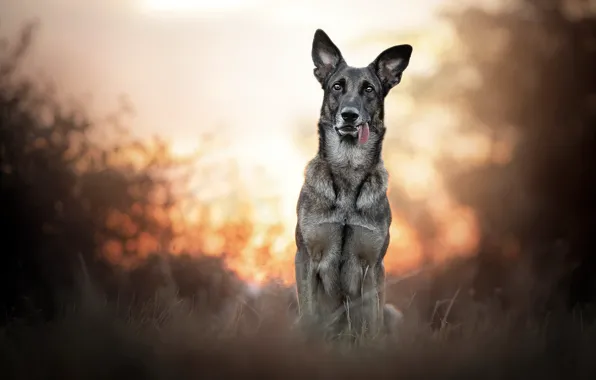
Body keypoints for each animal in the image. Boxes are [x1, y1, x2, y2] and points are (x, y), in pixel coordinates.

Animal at [294, 28, 414, 340]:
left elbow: (371, 322)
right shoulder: (306, 258)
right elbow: (309, 311)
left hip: (393, 312)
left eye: (369, 90)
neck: (348, 172)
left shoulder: (372, 266)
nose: (349, 114)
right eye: (337, 86)